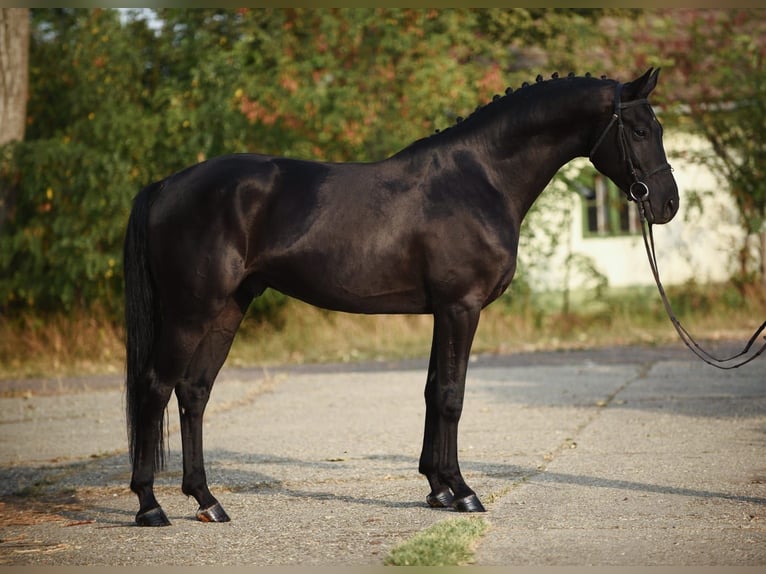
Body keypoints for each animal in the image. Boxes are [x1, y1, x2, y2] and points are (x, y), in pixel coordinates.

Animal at [124, 70, 680, 528]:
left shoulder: (443, 311)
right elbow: (452, 395)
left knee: (194, 391)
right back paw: (150, 506)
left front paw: (438, 489)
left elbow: (434, 391)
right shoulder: (461, 307)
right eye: (639, 131)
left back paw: (207, 501)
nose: (667, 204)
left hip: (229, 306)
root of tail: (165, 185)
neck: (480, 178)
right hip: (191, 310)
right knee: (155, 387)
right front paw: (464, 492)